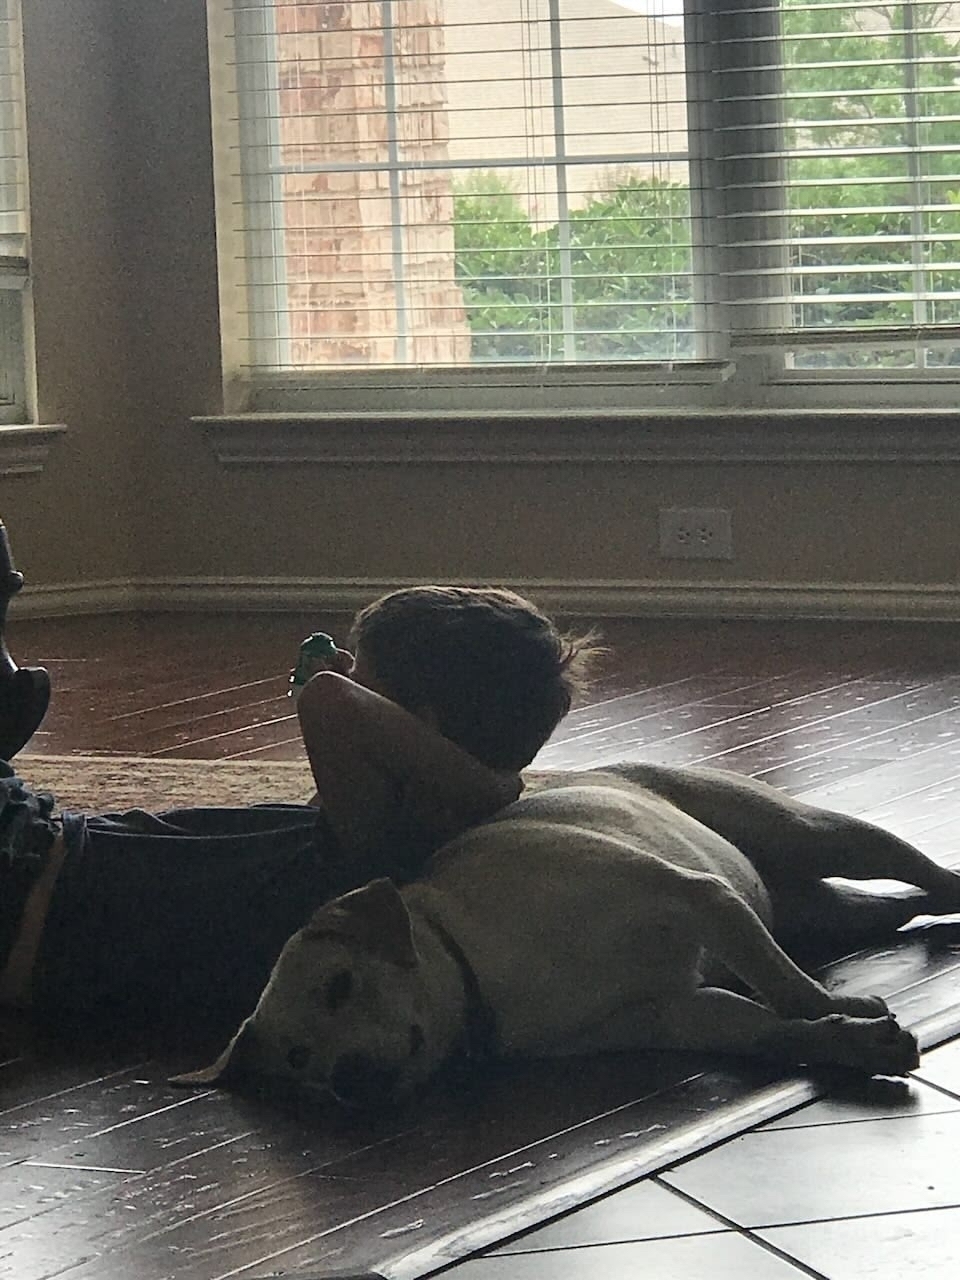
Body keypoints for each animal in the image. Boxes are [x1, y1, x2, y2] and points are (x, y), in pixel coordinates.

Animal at [179, 762, 960, 1105]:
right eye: (300, 1060)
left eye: (341, 985)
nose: (347, 1081)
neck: (485, 966)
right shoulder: (674, 1011)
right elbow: (772, 1028)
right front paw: (853, 1044)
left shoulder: (696, 897)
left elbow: (789, 991)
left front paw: (845, 1010)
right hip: (827, 909)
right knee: (895, 910)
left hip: (814, 833)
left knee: (919, 868)